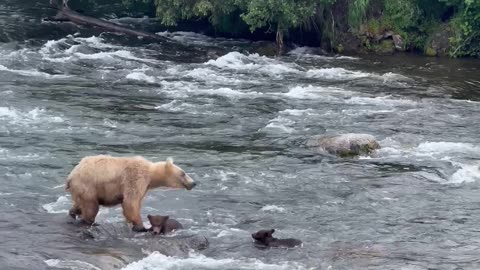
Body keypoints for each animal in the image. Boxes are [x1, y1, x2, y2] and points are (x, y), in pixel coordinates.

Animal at [65, 154, 197, 232]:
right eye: (183, 173)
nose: (194, 183)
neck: (151, 174)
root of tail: (71, 175)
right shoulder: (136, 177)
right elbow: (130, 202)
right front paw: (141, 226)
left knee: (79, 203)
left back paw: (73, 213)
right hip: (88, 184)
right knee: (91, 206)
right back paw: (90, 221)